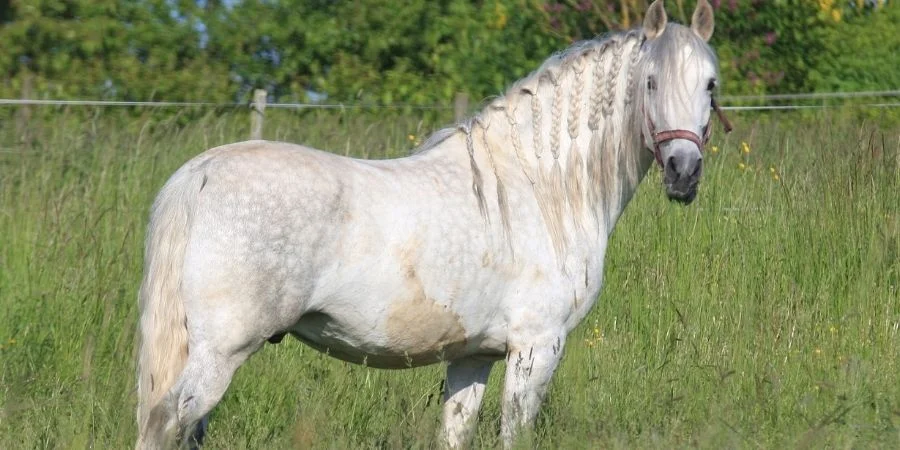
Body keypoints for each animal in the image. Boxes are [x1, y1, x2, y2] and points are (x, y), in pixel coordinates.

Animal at [136, 1, 730, 448]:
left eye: (710, 85)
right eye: (650, 83)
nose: (683, 171)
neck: (540, 187)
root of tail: (201, 173)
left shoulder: (472, 357)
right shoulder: (537, 349)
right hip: (223, 351)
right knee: (166, 421)